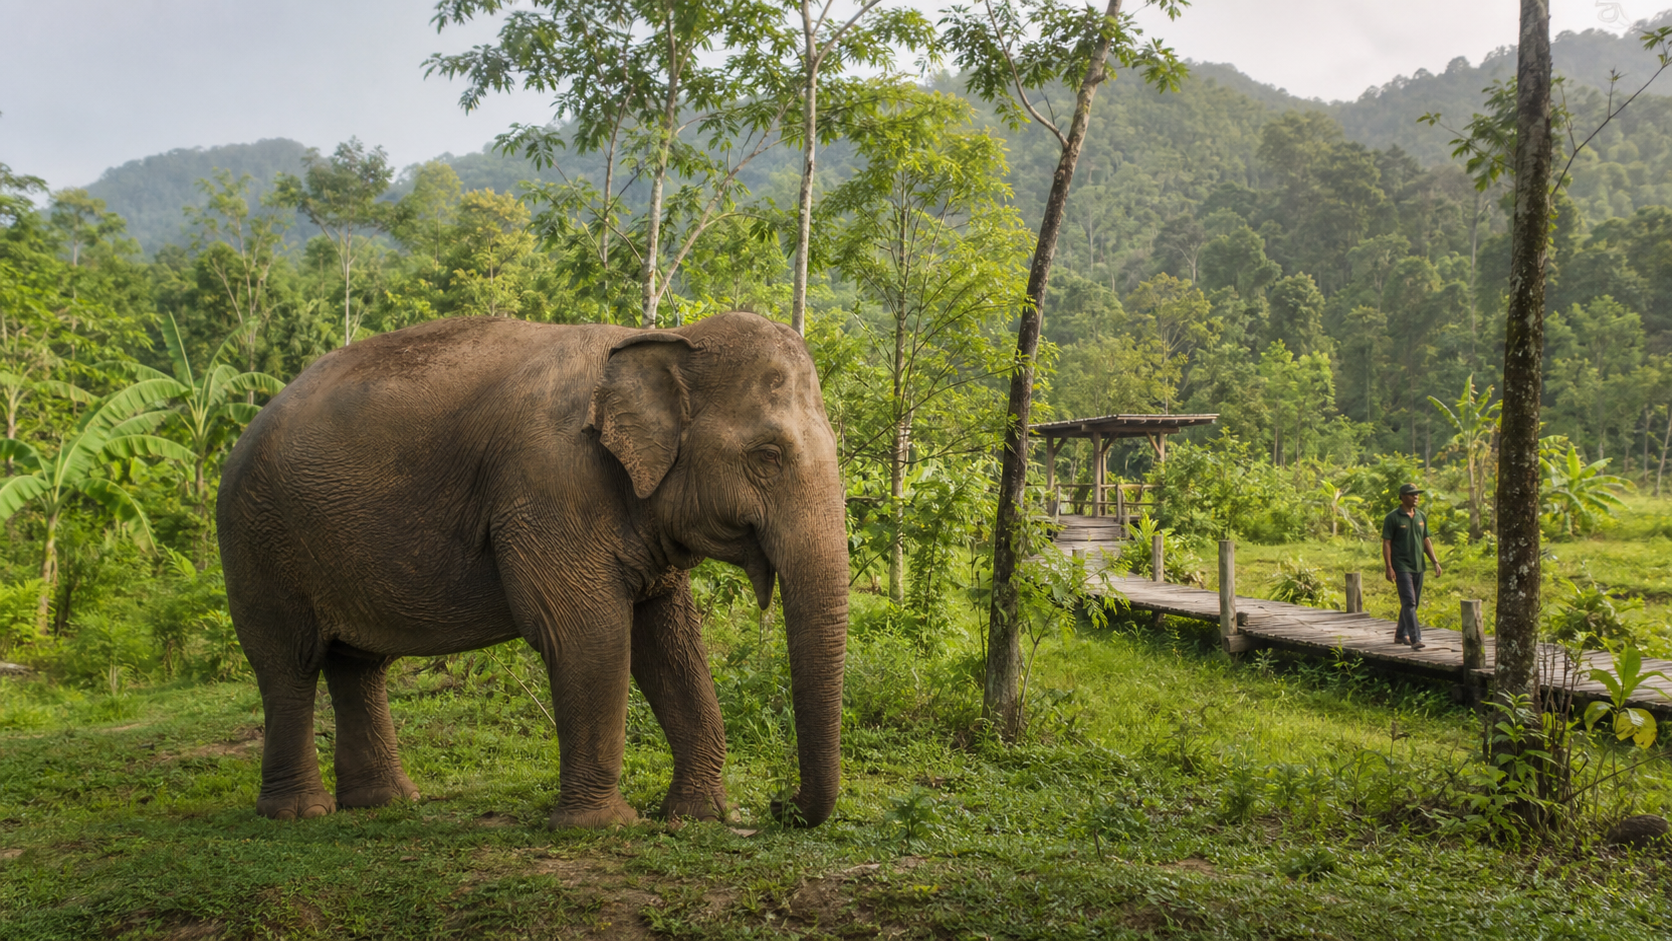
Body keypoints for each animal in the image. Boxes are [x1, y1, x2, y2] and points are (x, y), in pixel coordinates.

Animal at [216, 311, 848, 828]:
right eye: (767, 456)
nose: (780, 805)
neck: (661, 338)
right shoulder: (550, 483)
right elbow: (588, 634)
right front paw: (603, 827)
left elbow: (669, 640)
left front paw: (701, 816)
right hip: (257, 539)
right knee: (288, 664)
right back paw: (299, 813)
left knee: (357, 664)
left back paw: (386, 803)